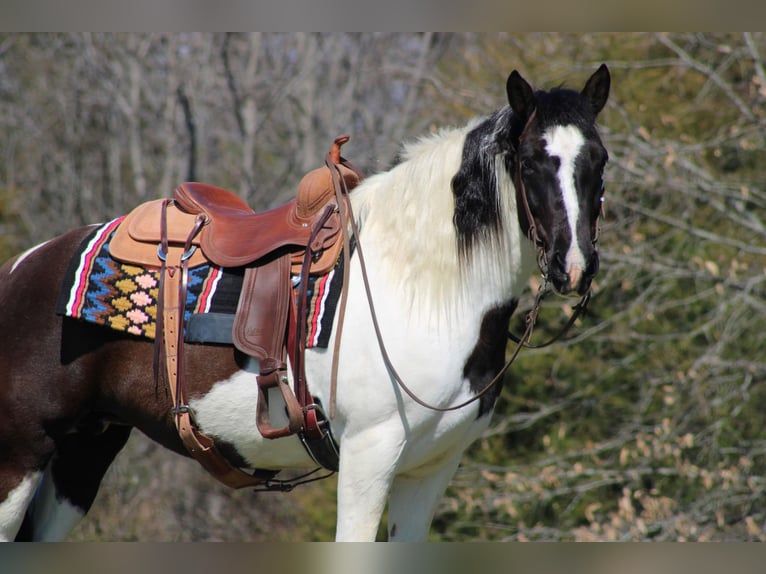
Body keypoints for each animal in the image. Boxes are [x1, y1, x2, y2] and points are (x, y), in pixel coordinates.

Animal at [0, 65, 612, 544]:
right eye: (531, 161)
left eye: (600, 161)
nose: (575, 265)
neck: (421, 288)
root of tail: (24, 266)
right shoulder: (369, 455)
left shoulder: (431, 470)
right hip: (20, 456)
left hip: (83, 457)